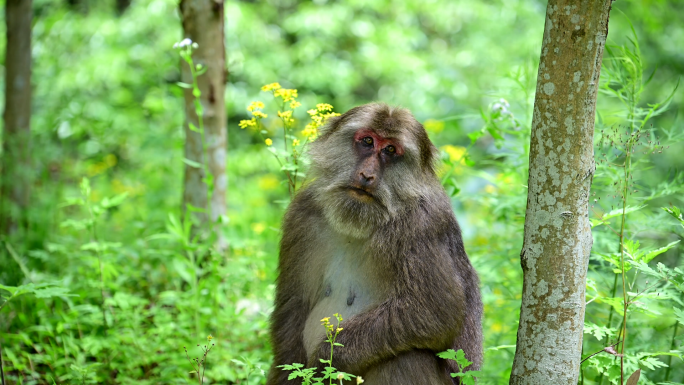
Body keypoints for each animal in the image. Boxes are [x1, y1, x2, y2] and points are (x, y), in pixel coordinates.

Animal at [268, 103, 480, 384]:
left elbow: (435, 311)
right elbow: (294, 306)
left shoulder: (421, 224)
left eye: (390, 150)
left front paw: (327, 363)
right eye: (368, 141)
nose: (366, 175)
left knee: (407, 357)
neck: (359, 226)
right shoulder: (302, 214)